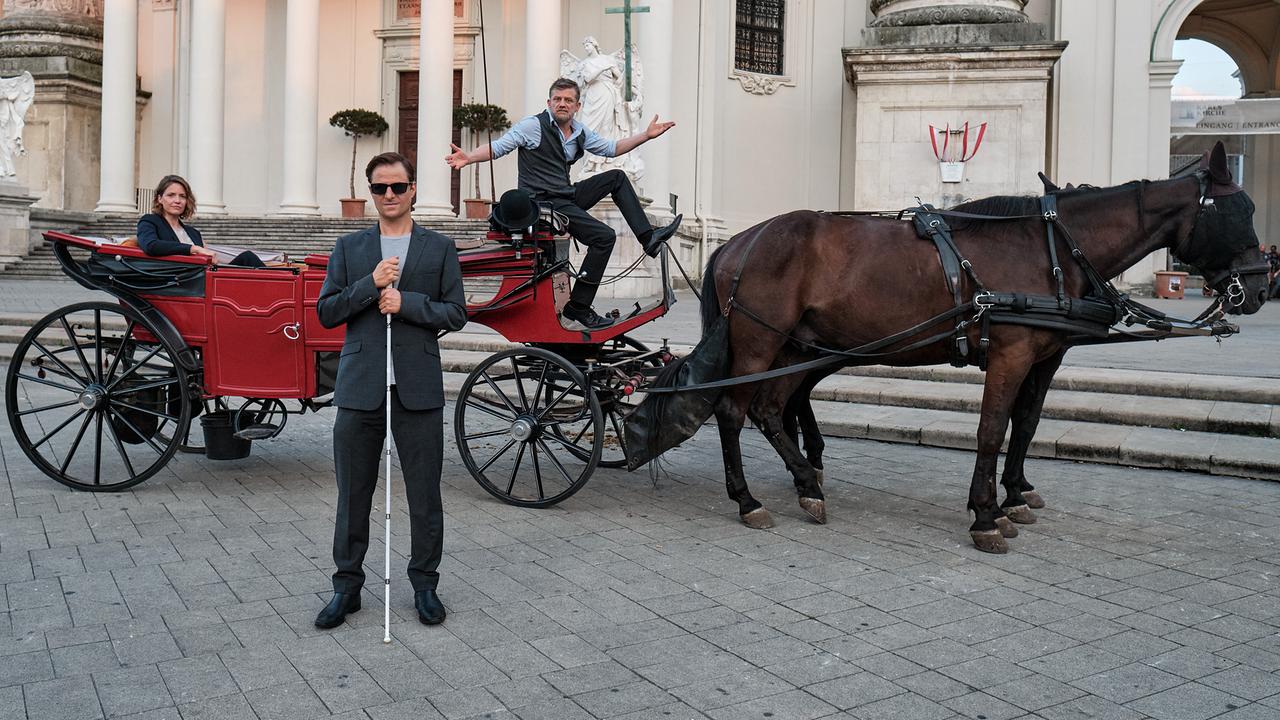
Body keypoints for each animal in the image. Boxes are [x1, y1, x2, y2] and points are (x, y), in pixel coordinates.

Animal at [624, 142, 1264, 550]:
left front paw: (1015, 494)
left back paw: (806, 481)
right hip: (761, 342)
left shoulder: (1044, 357)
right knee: (735, 411)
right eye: (1240, 209)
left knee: (771, 408)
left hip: (794, 349)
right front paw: (986, 514)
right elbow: (991, 430)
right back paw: (749, 499)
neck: (1053, 248)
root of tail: (742, 241)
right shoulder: (1010, 354)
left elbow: (1025, 425)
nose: (1259, 285)